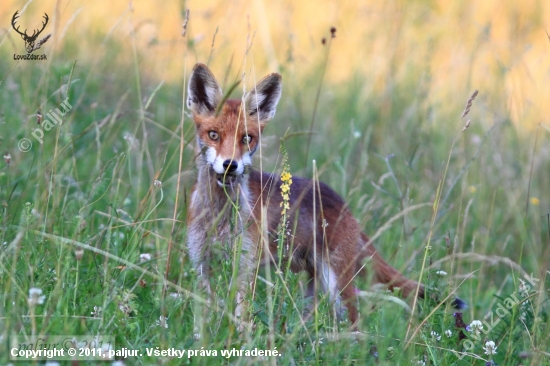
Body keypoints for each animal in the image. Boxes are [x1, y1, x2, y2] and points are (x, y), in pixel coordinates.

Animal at [187, 63, 466, 328]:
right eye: (213, 135)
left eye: (247, 138)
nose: (230, 165)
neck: (218, 217)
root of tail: (343, 204)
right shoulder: (201, 266)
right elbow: (204, 323)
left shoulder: (245, 269)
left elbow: (241, 322)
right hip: (313, 287)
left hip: (337, 287)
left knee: (355, 329)